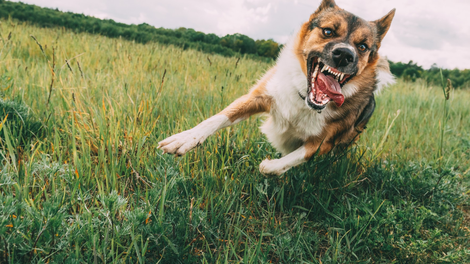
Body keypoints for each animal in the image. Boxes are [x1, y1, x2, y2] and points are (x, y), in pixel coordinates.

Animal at [159, 0, 396, 177]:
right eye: (328, 31)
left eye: (362, 46)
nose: (345, 55)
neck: (304, 100)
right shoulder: (259, 96)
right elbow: (218, 117)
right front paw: (184, 139)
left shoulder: (324, 143)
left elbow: (292, 159)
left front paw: (270, 165)